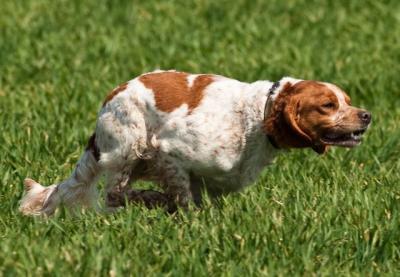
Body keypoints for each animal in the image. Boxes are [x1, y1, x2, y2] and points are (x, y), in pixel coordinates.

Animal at [18, 70, 370, 215]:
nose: (367, 116)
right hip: (130, 143)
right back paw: (147, 201)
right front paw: (171, 208)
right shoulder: (170, 152)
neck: (258, 116)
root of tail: (110, 99)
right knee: (115, 195)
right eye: (328, 105)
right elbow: (183, 198)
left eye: (347, 101)